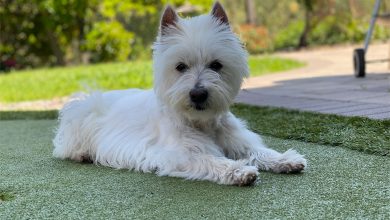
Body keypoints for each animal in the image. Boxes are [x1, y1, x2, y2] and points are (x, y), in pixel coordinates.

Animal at [53, 2, 306, 186]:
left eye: (216, 65)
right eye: (180, 66)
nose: (198, 94)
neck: (202, 122)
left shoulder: (237, 140)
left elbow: (258, 150)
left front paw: (287, 159)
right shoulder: (180, 155)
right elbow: (212, 160)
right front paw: (240, 170)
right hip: (83, 113)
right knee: (64, 146)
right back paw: (83, 153)